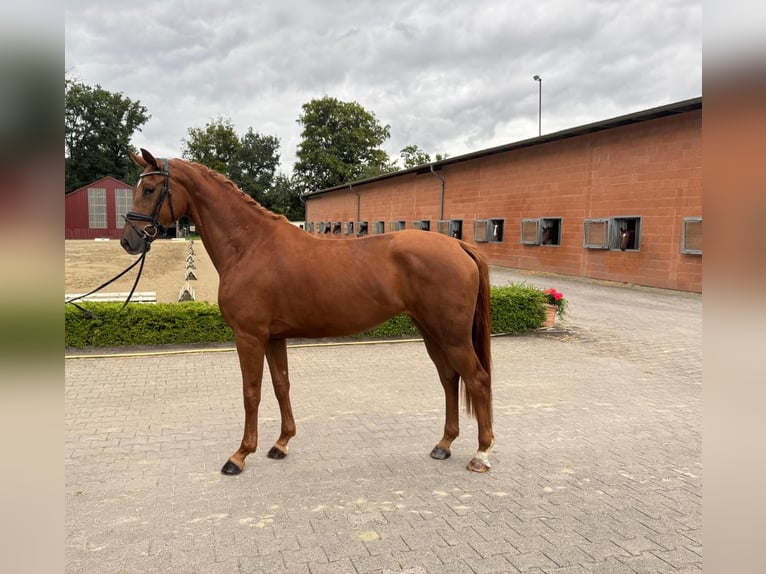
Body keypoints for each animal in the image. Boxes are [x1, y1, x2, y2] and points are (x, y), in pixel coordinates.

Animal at [121, 149, 495, 474]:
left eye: (149, 189)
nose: (129, 241)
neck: (250, 246)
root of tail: (459, 245)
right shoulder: (273, 337)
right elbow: (281, 385)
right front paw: (281, 443)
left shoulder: (249, 337)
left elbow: (251, 392)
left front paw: (240, 455)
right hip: (432, 331)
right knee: (449, 379)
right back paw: (444, 444)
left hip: (452, 335)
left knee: (476, 379)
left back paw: (481, 453)